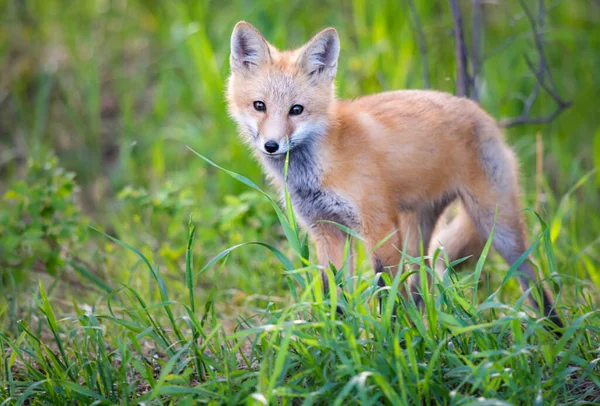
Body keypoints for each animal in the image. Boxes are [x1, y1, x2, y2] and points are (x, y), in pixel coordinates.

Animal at [225, 21, 564, 326]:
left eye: (296, 110)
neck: (319, 168)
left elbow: (386, 292)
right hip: (418, 230)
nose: (271, 146)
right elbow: (336, 296)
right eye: (259, 105)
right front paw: (340, 342)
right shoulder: (327, 230)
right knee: (420, 282)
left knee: (530, 276)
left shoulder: (379, 227)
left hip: (496, 223)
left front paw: (393, 341)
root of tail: (483, 114)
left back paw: (555, 331)